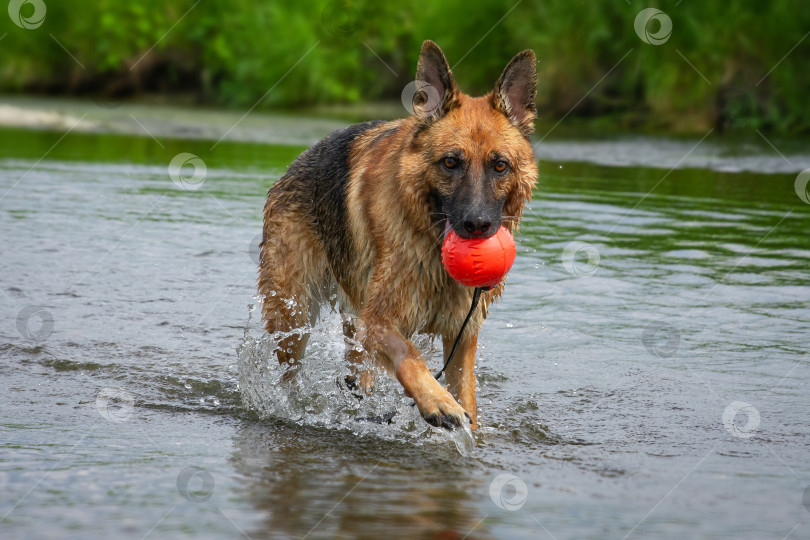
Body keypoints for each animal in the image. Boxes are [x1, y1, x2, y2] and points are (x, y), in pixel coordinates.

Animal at [258, 41, 536, 430]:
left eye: (500, 166)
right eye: (450, 163)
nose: (477, 225)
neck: (431, 245)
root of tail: (293, 165)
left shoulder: (461, 337)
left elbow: (466, 395)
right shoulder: (378, 322)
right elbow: (410, 353)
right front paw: (438, 402)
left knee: (359, 373)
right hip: (292, 319)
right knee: (289, 375)